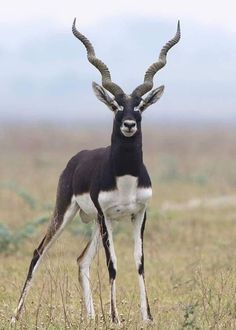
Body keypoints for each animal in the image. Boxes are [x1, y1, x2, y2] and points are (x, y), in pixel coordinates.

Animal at [11, 18, 181, 324]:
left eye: (140, 106)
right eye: (115, 105)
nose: (128, 124)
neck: (125, 178)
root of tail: (77, 158)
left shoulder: (139, 214)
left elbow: (139, 262)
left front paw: (147, 317)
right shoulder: (105, 215)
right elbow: (113, 264)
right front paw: (115, 318)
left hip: (99, 223)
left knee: (82, 260)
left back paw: (90, 317)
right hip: (67, 213)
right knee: (38, 252)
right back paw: (15, 317)